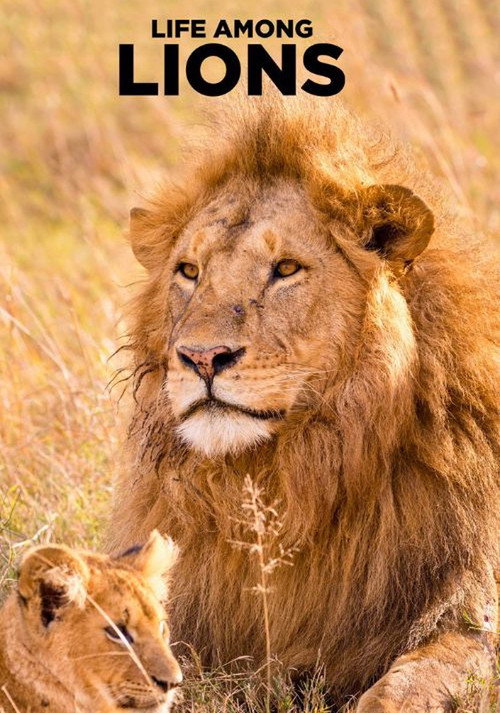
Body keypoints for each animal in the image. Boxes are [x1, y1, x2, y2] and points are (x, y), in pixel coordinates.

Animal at [108, 96, 499, 711]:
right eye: (189, 271)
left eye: (286, 269)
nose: (201, 357)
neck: (289, 480)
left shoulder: (471, 612)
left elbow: (402, 689)